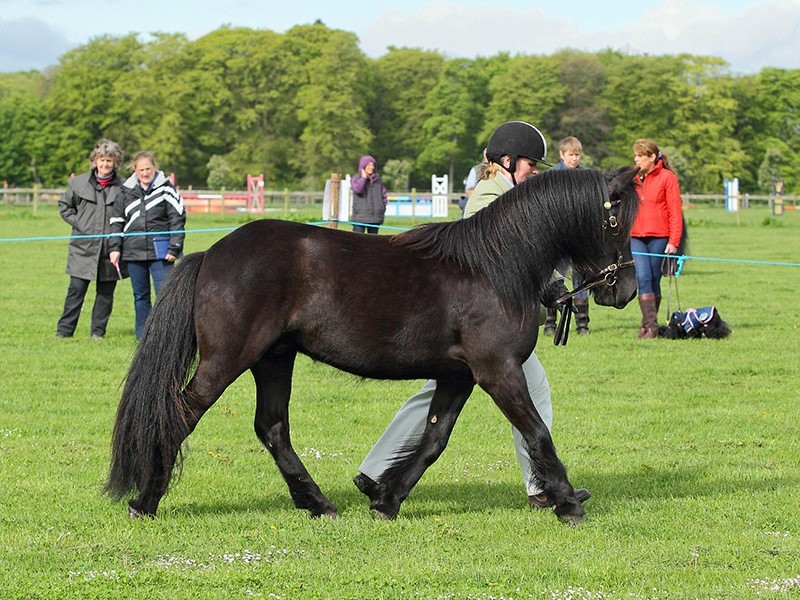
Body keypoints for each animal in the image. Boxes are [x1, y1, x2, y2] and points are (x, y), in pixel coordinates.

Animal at [105, 166, 641, 524]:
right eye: (616, 221)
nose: (626, 290)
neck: (495, 268)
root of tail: (213, 254)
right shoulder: (499, 371)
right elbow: (536, 432)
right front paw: (567, 502)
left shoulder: (459, 375)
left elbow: (433, 439)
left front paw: (386, 499)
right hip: (227, 360)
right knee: (180, 414)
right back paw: (145, 502)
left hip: (274, 359)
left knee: (272, 428)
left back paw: (318, 503)